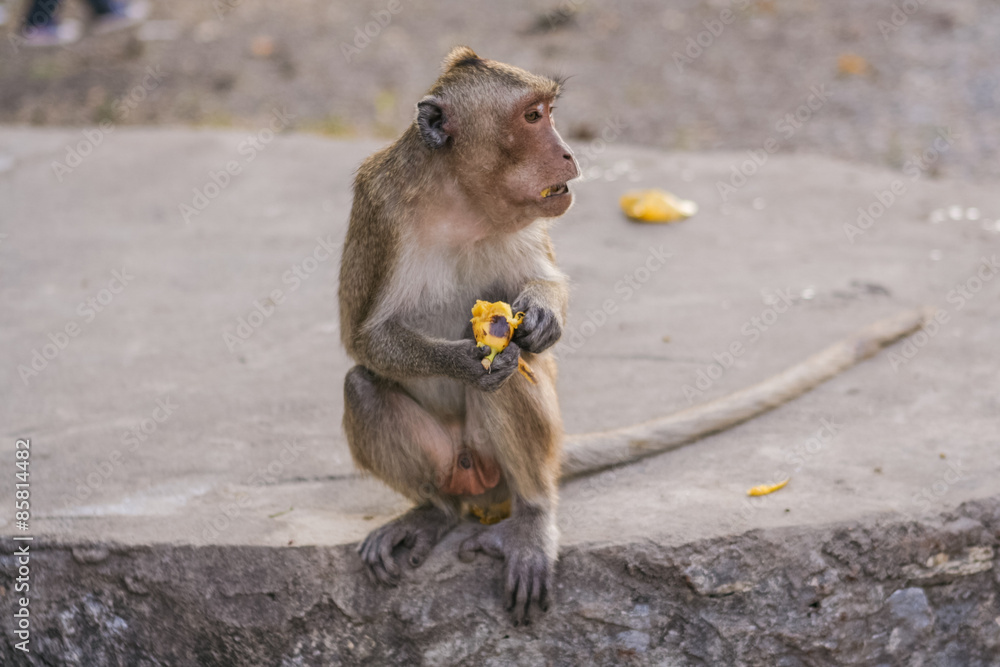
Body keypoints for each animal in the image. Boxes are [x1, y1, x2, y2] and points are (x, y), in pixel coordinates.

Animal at [338, 46, 933, 625]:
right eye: (532, 117)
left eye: (547, 112)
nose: (568, 154)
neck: (463, 198)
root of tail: (483, 484)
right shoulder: (381, 208)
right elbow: (363, 338)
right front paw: (468, 362)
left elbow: (543, 294)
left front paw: (542, 317)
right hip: (455, 466)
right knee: (365, 386)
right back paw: (433, 513)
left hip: (512, 459)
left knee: (510, 382)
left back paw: (532, 518)